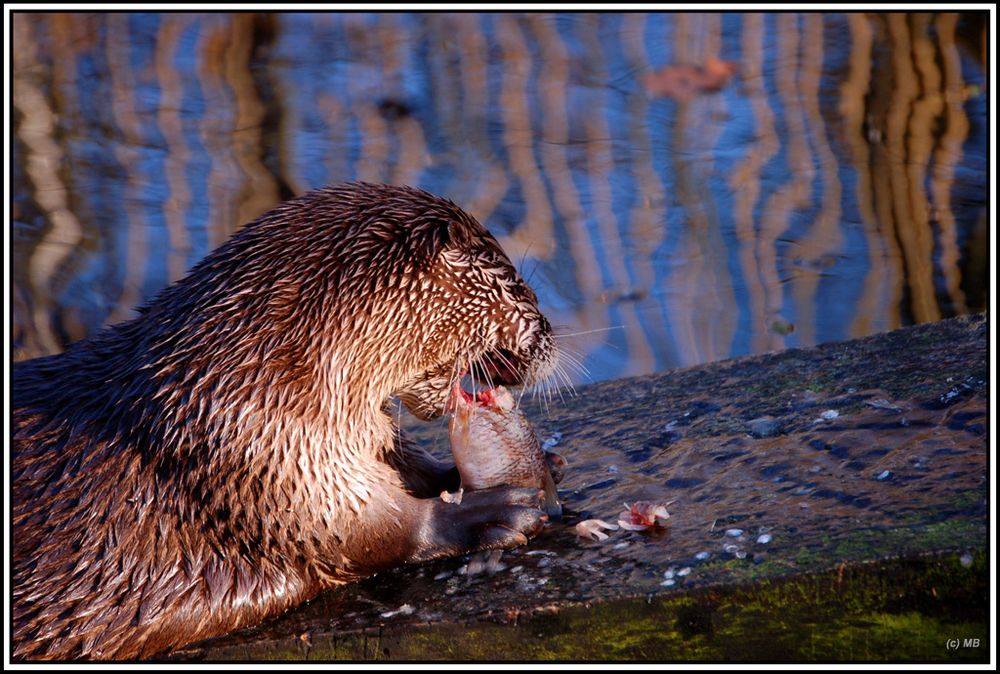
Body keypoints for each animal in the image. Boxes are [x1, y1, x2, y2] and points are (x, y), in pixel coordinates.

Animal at [11, 181, 560, 660]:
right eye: (518, 286)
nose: (550, 334)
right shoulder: (262, 455)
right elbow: (372, 532)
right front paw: (493, 510)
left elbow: (408, 465)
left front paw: (516, 468)